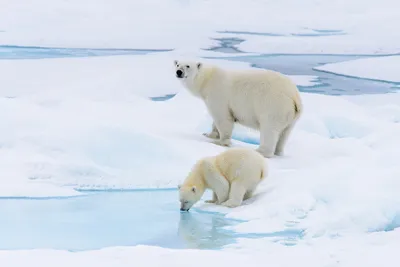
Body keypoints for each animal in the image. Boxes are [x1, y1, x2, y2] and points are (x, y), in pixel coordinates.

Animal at [173, 60, 302, 157]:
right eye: (177, 64)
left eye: (188, 66)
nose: (178, 72)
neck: (208, 79)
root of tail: (294, 96)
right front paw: (209, 134)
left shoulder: (218, 94)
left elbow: (223, 118)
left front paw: (221, 142)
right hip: (291, 115)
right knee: (285, 133)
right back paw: (278, 151)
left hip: (274, 105)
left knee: (269, 129)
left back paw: (260, 151)